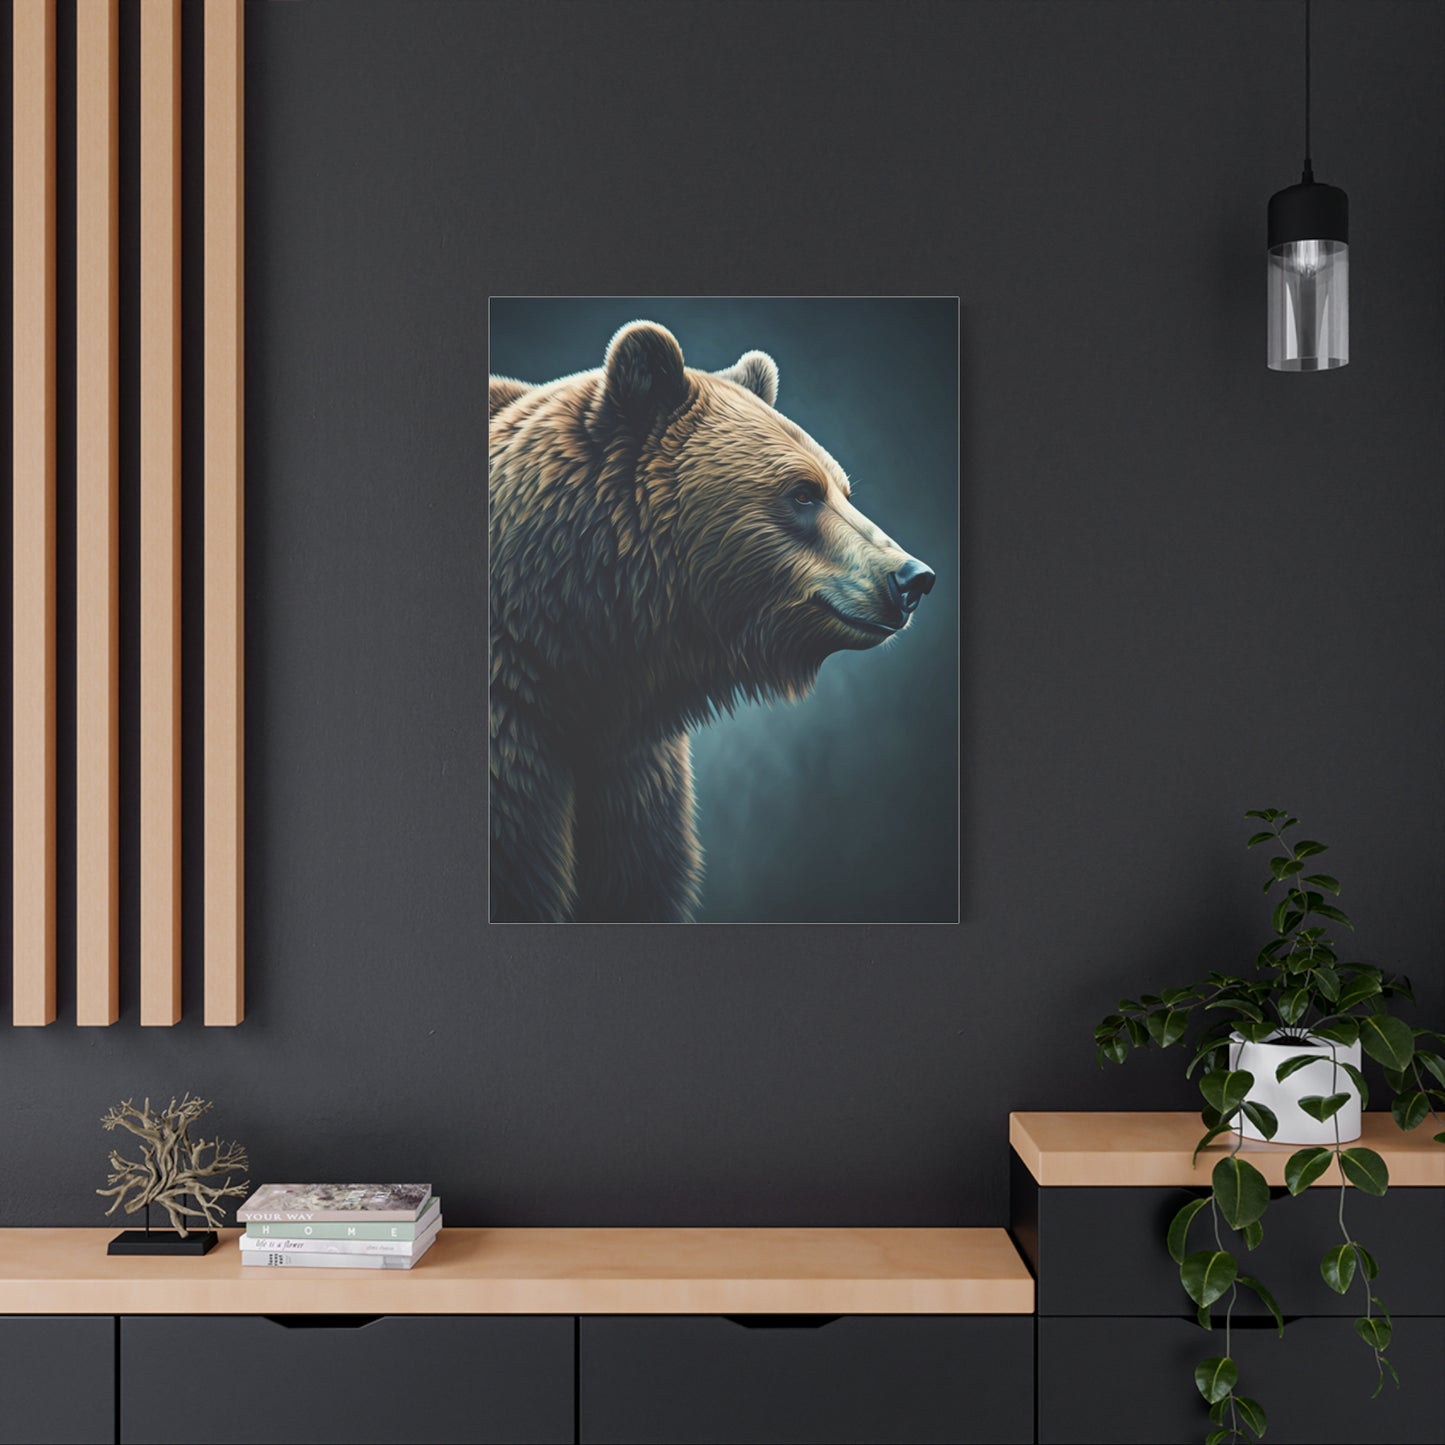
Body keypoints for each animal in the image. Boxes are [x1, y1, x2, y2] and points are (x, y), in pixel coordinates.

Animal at [489, 321, 935, 923]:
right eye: (802, 492)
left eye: (842, 489)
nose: (912, 578)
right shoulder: (513, 741)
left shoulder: (632, 767)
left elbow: (638, 879)